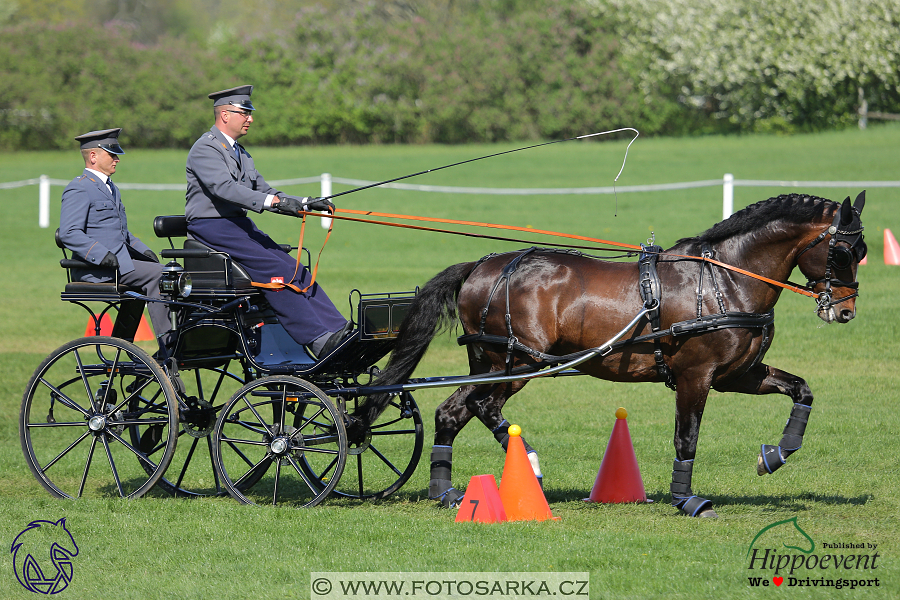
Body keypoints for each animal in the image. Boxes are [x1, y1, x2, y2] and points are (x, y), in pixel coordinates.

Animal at [352, 191, 864, 516]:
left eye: (860, 251)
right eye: (844, 251)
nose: (845, 311)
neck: (724, 280)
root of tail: (482, 265)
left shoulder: (737, 374)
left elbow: (801, 391)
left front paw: (775, 455)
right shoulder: (696, 375)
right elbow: (687, 438)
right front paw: (687, 500)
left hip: (492, 362)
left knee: (452, 412)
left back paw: (446, 492)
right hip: (519, 362)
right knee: (483, 406)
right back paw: (528, 463)